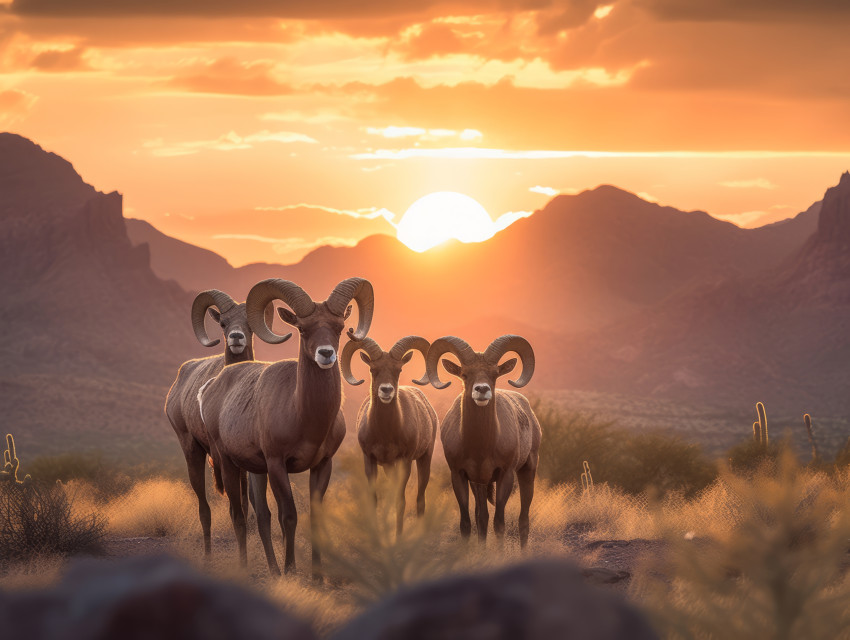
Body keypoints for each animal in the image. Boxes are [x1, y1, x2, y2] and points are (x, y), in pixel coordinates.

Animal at [164, 289, 276, 564]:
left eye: (250, 324)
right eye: (223, 323)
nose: (236, 337)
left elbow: (246, 509)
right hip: (193, 452)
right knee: (204, 510)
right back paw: (207, 558)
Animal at [200, 277, 374, 578]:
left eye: (339, 327)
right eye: (302, 329)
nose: (326, 354)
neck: (303, 418)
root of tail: (214, 385)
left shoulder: (322, 465)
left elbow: (313, 518)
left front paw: (317, 577)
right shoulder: (277, 465)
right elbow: (289, 516)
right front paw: (291, 570)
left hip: (255, 471)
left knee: (262, 517)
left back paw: (273, 569)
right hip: (229, 464)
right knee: (239, 516)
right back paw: (248, 569)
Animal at [339, 335, 438, 534]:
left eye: (398, 369)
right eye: (373, 369)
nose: (386, 390)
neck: (385, 433)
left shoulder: (405, 461)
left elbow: (401, 501)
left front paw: (398, 536)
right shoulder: (370, 460)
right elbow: (374, 500)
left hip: (424, 458)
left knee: (420, 498)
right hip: (389, 467)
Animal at [425, 335, 539, 547]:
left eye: (494, 374)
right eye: (464, 374)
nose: (482, 390)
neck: (480, 448)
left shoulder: (505, 476)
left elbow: (499, 524)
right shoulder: (461, 476)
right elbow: (469, 523)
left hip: (528, 471)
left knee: (523, 519)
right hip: (480, 484)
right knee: (482, 518)